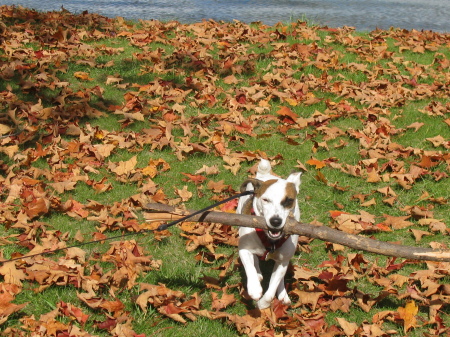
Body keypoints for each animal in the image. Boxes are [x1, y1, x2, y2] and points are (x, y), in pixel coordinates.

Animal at [236, 159, 302, 308]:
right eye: (265, 200)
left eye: (289, 200)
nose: (275, 221)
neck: (269, 240)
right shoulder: (244, 249)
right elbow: (249, 267)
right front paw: (254, 288)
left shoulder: (283, 261)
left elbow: (271, 291)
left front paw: (263, 304)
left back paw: (282, 293)